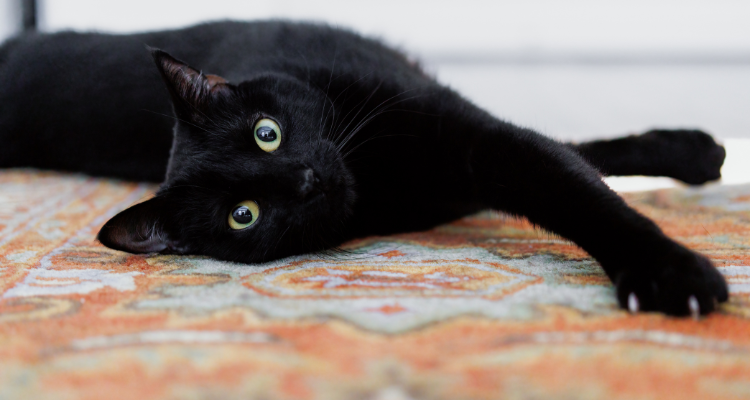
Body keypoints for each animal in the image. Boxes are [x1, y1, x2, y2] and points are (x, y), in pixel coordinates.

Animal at [0, 21, 728, 316]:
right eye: (243, 215)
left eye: (267, 134)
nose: (306, 179)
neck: (383, 179)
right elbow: (575, 167)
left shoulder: (475, 140)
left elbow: (578, 185)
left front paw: (668, 270)